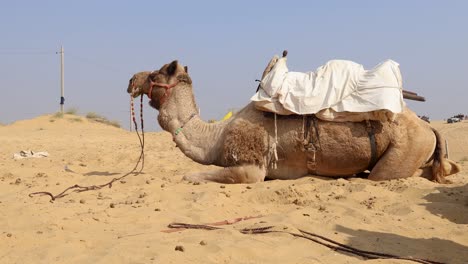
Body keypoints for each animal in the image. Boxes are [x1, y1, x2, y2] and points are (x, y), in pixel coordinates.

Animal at [128, 60, 460, 185]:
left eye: (156, 74)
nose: (131, 80)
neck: (216, 136)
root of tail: (428, 126)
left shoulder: (251, 166)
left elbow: (194, 175)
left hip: (405, 148)